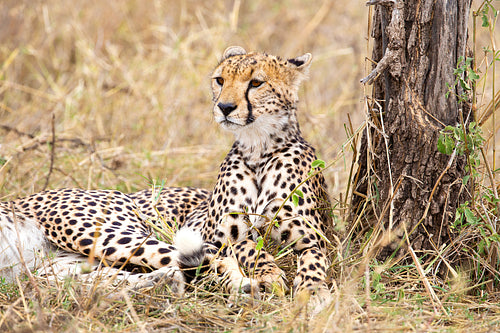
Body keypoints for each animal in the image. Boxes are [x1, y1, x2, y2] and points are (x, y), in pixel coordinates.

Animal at [1, 46, 334, 308]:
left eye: (256, 83)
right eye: (220, 80)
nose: (225, 107)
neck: (259, 149)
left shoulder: (312, 237)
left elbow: (313, 260)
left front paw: (315, 292)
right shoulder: (220, 233)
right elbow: (245, 246)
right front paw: (269, 273)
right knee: (186, 263)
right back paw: (238, 286)